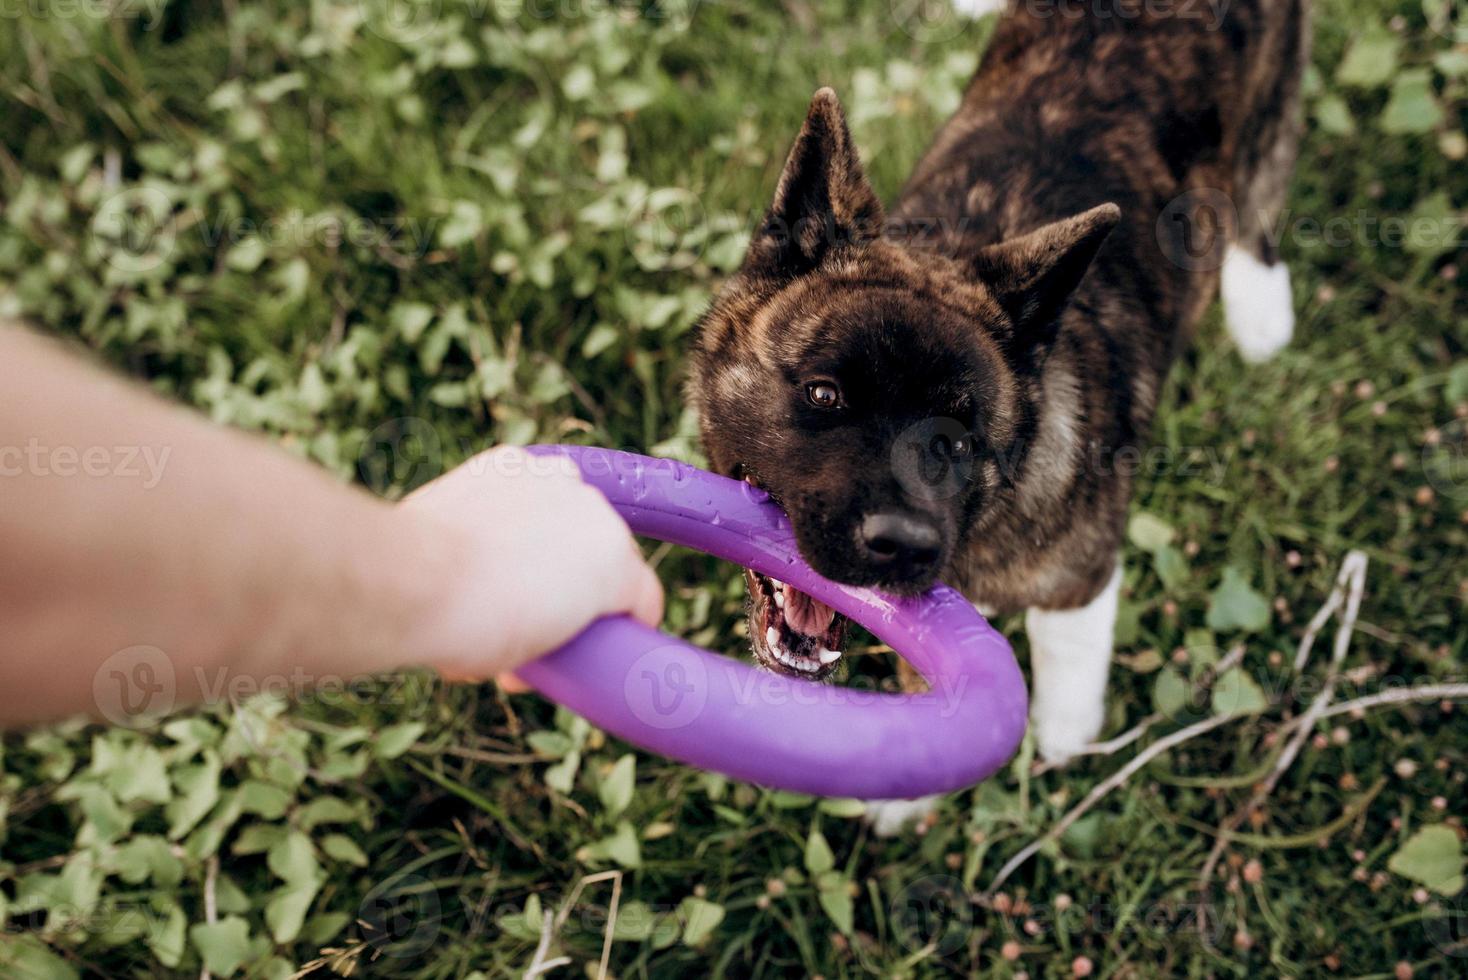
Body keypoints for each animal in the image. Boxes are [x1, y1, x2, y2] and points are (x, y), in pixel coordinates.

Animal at [692, 0, 1315, 803]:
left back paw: (1261, 311)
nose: (904, 544)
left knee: (1260, 203)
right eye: (824, 394)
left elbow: (1066, 669)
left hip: (1272, 112)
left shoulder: (1079, 580)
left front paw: (1061, 743)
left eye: (960, 439)